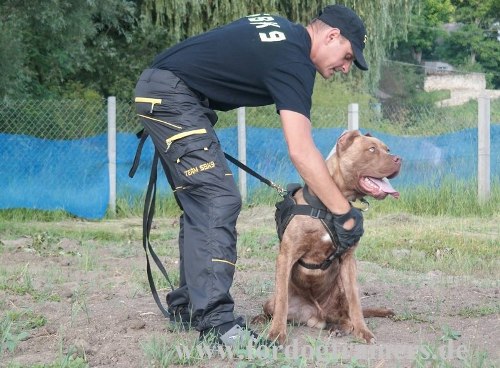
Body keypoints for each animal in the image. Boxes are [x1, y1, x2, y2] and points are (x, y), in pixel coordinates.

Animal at [258, 129, 402, 344]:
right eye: (371, 149)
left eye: (388, 149)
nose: (399, 159)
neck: (328, 207)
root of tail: (317, 315)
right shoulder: (286, 256)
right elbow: (282, 301)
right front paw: (276, 333)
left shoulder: (348, 260)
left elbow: (355, 302)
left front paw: (363, 331)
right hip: (271, 301)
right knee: (273, 307)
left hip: (338, 293)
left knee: (346, 315)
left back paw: (339, 328)